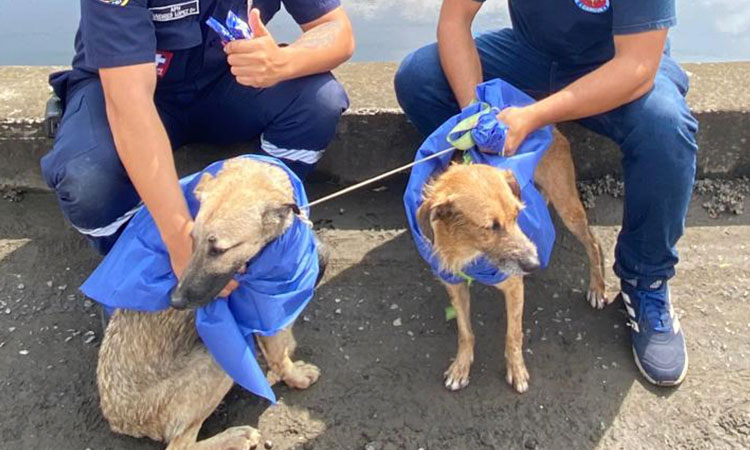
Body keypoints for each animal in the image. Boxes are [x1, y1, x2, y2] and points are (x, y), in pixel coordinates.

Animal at [98, 157, 322, 446]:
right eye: (192, 240)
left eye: (219, 250)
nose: (176, 300)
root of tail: (118, 420)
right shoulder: (264, 308)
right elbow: (279, 355)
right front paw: (295, 376)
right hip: (217, 358)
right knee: (180, 445)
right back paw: (234, 437)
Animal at [420, 128, 608, 392]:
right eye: (490, 227)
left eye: (518, 214)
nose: (534, 264)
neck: (470, 251)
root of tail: (552, 128)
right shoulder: (454, 284)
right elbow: (465, 331)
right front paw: (461, 366)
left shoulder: (514, 286)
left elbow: (514, 334)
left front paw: (517, 370)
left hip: (568, 207)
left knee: (593, 243)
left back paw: (597, 287)